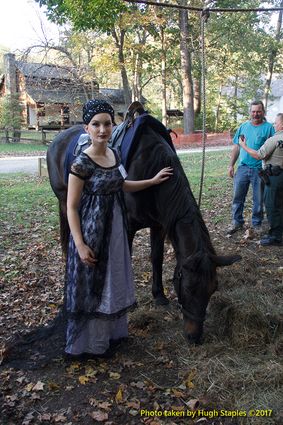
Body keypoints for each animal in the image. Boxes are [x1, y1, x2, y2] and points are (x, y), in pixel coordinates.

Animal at [47, 107, 242, 342]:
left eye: (213, 289)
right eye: (187, 288)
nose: (194, 337)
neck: (150, 168)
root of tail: (58, 139)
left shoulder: (159, 225)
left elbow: (156, 257)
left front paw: (159, 295)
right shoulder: (128, 226)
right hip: (64, 202)